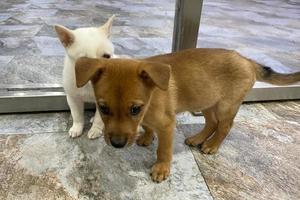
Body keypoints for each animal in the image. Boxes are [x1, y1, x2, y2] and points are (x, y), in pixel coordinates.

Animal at [74, 48, 298, 183]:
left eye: (135, 109)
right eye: (103, 108)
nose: (117, 144)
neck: (152, 97)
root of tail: (248, 60)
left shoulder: (166, 124)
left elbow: (163, 150)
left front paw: (161, 169)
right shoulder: (150, 120)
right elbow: (148, 127)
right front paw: (147, 138)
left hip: (225, 106)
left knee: (224, 126)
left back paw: (211, 145)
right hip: (205, 100)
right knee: (212, 122)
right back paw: (198, 139)